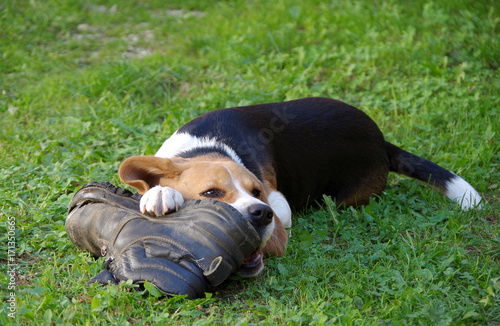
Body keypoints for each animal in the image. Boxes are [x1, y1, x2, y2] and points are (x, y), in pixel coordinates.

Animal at [119, 97, 482, 278]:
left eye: (257, 192)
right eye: (211, 194)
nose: (260, 214)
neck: (208, 146)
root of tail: (382, 142)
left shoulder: (279, 203)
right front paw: (160, 193)